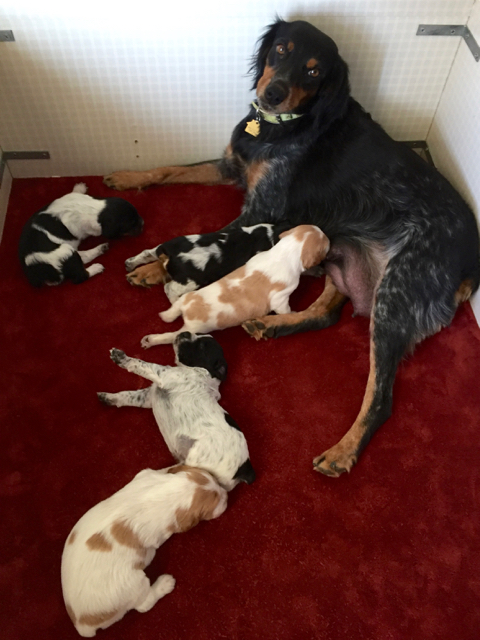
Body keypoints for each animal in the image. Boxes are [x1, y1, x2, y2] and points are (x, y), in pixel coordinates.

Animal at [62, 462, 227, 636]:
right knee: (144, 604)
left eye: (215, 480)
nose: (226, 494)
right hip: (134, 585)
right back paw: (164, 584)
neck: (165, 491)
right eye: (216, 501)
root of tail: (81, 623)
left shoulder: (145, 475)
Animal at [97, 330, 255, 490]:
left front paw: (120, 357)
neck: (201, 370)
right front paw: (109, 398)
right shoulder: (148, 397)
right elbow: (127, 396)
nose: (185, 332)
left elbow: (141, 363)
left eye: (202, 346)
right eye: (198, 334)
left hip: (195, 457)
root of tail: (245, 469)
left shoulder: (163, 374)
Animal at [124, 222, 290, 302]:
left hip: (163, 246)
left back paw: (130, 263)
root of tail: (169, 254)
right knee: (169, 288)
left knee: (147, 253)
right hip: (189, 282)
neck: (271, 235)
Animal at [141, 224, 330, 348]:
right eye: (326, 245)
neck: (284, 251)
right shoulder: (281, 298)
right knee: (171, 335)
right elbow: (285, 310)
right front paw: (291, 314)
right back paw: (152, 340)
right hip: (193, 325)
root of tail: (187, 306)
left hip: (186, 297)